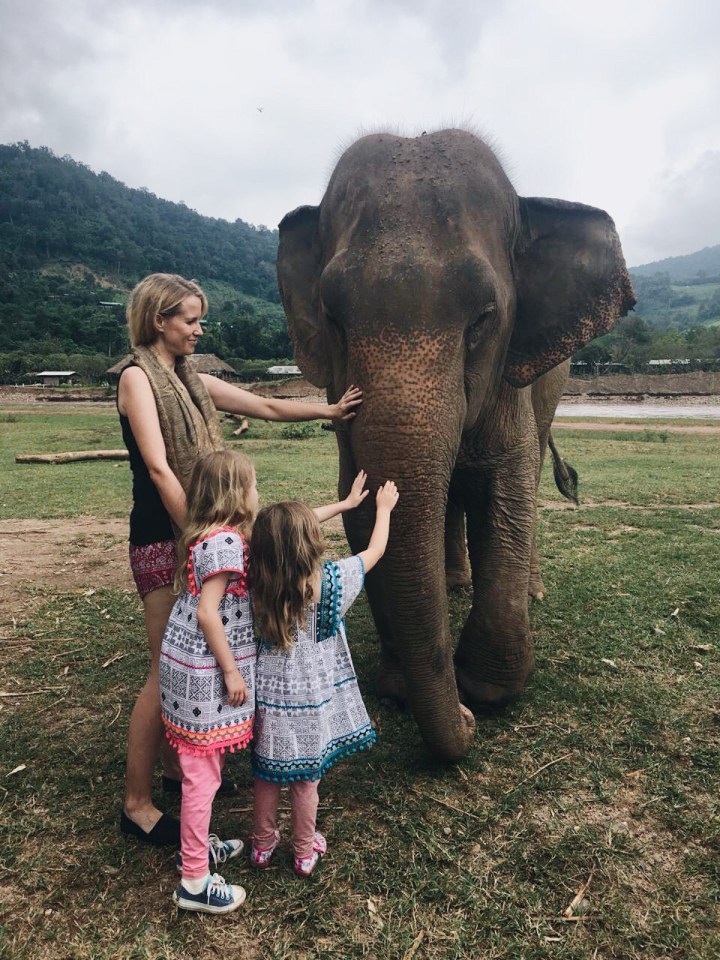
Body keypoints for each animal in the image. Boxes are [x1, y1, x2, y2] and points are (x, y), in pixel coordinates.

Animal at [278, 129, 636, 756]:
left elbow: (509, 487)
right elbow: (359, 504)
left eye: (484, 317)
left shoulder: (512, 382)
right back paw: (453, 584)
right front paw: (402, 685)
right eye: (332, 317)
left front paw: (489, 689)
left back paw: (529, 592)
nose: (465, 721)